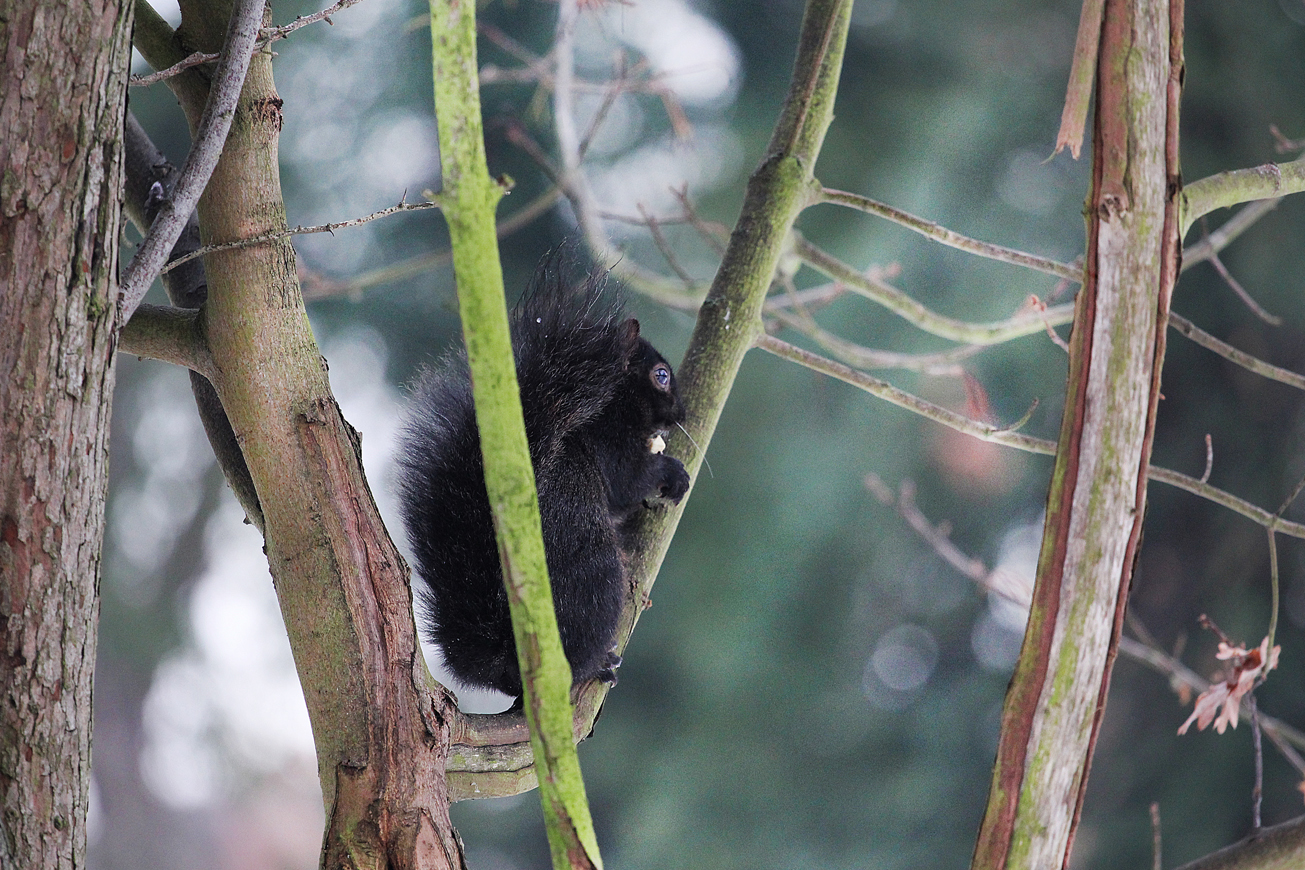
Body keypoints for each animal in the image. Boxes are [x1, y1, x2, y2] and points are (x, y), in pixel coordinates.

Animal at [396, 262, 694, 704]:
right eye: (660, 376)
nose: (683, 414)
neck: (611, 402)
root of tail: (504, 654)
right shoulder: (609, 442)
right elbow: (627, 482)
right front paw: (672, 473)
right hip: (598, 581)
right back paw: (596, 666)